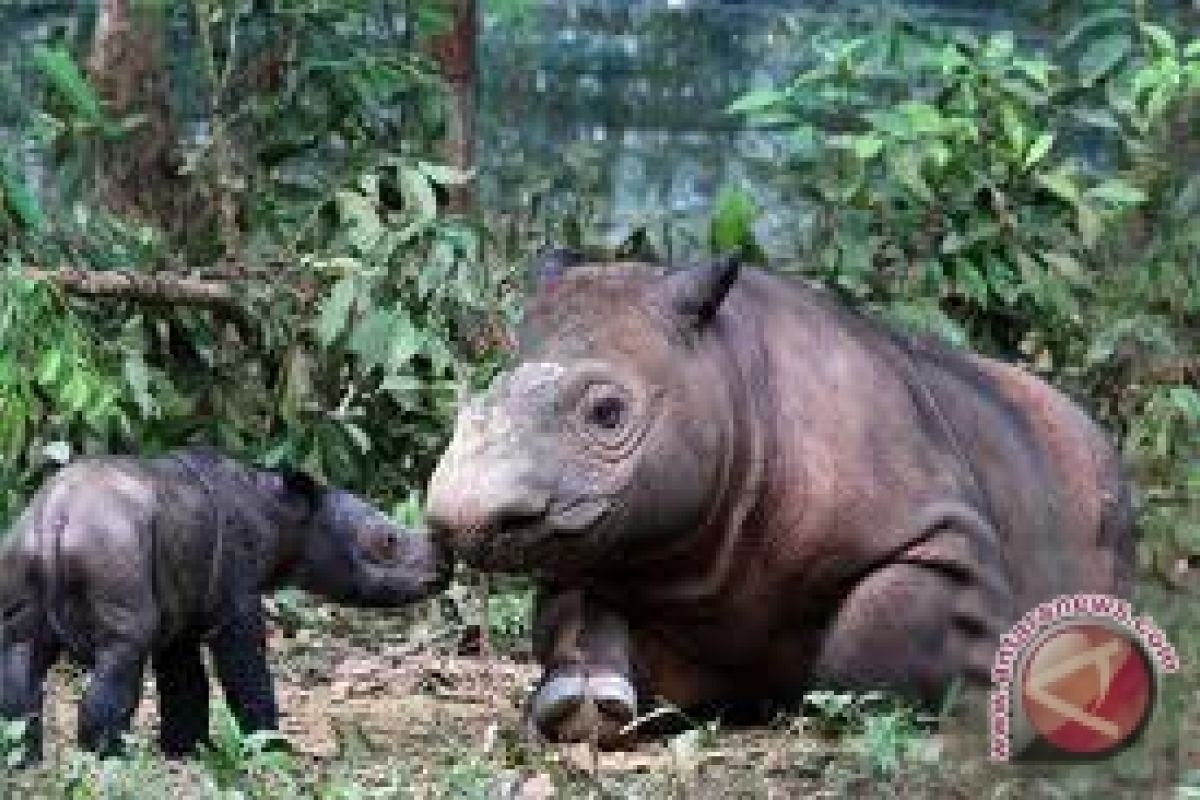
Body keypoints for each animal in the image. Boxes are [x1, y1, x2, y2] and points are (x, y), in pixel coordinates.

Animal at [0, 448, 451, 762]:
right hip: (112, 549)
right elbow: (244, 673)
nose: (444, 565)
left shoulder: (182, 607)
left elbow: (185, 681)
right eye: (387, 542)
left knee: (20, 652)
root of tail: (56, 520)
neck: (284, 516)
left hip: (21, 548)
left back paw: (23, 760)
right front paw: (273, 751)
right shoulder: (235, 597)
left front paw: (186, 751)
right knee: (124, 649)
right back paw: (108, 759)